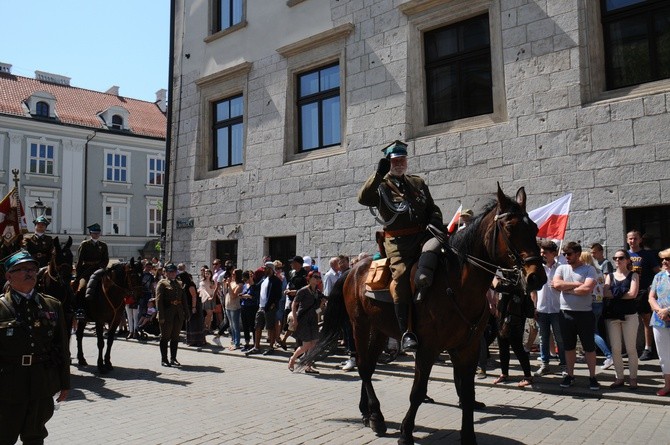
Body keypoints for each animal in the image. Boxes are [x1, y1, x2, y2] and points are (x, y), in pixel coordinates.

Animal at [308, 184, 548, 444]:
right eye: (510, 227)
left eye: (534, 228)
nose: (537, 277)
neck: (457, 284)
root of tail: (353, 269)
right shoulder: (427, 348)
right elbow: (418, 391)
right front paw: (406, 433)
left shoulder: (468, 347)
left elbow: (467, 392)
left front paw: (468, 436)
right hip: (359, 325)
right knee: (363, 366)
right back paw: (377, 417)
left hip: (379, 330)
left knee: (369, 367)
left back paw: (368, 413)